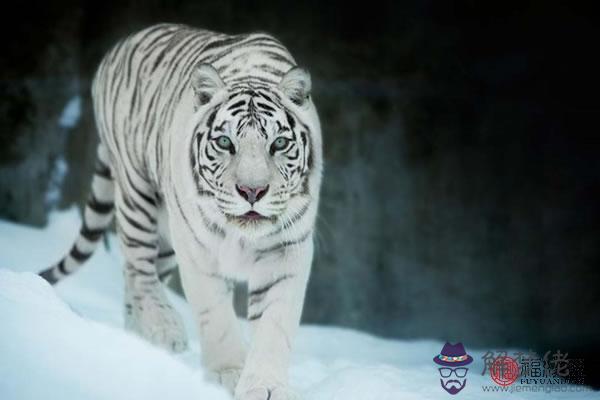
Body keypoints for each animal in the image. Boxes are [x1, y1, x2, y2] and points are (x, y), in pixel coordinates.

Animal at [39, 23, 323, 400]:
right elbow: (215, 314)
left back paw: (137, 337)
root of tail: (122, 42)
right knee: (138, 268)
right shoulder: (196, 248)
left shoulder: (286, 249)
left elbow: (274, 325)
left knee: (136, 275)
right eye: (224, 143)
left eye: (278, 143)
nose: (252, 191)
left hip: (165, 234)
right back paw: (163, 328)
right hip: (138, 194)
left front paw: (265, 386)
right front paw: (229, 373)